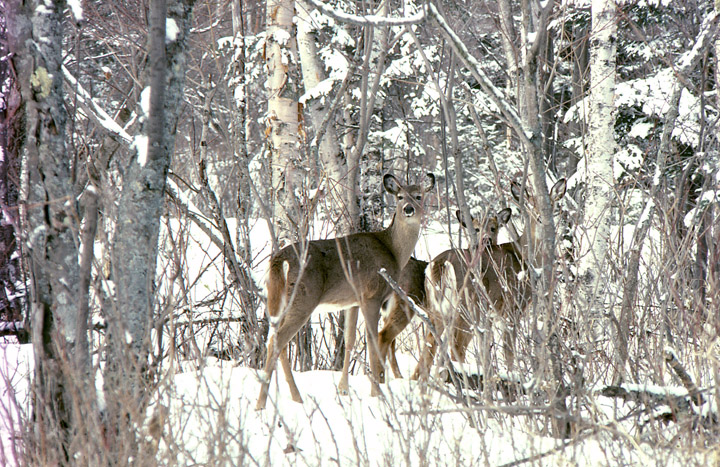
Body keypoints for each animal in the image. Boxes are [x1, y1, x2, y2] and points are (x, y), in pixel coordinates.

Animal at [255, 172, 434, 410]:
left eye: (419, 196)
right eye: (400, 196)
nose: (408, 209)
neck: (393, 250)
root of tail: (278, 261)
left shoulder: (353, 301)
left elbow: (349, 341)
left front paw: (343, 389)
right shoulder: (372, 295)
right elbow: (372, 339)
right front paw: (377, 393)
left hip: (277, 300)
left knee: (278, 341)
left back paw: (296, 397)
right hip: (303, 298)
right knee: (277, 340)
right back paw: (261, 403)